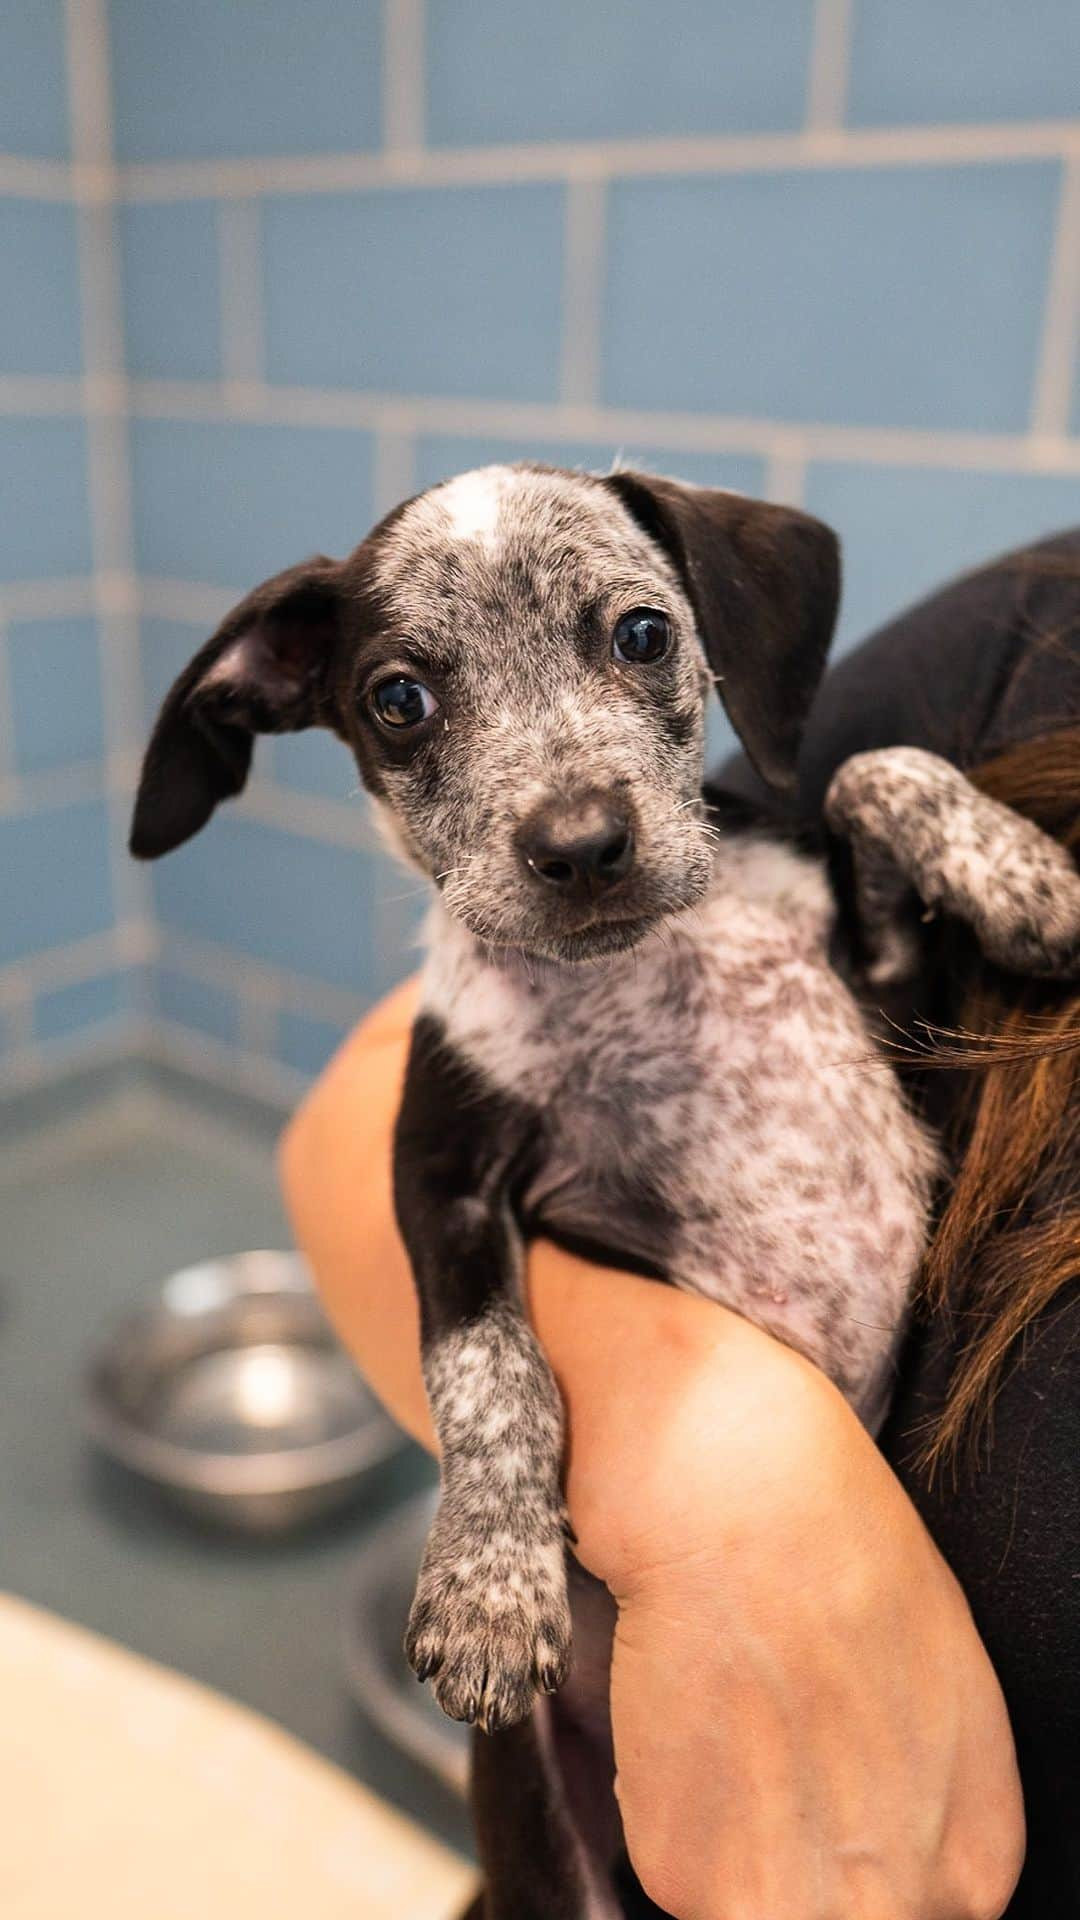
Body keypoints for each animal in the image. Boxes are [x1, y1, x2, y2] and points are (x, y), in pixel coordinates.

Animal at [127, 468, 1076, 1920]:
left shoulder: (897, 1019)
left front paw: (1029, 880)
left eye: (641, 633)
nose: (579, 845)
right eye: (399, 698)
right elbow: (491, 1369)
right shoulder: (441, 1178)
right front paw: (490, 1582)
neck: (642, 974)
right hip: (551, 1853)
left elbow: (865, 768)